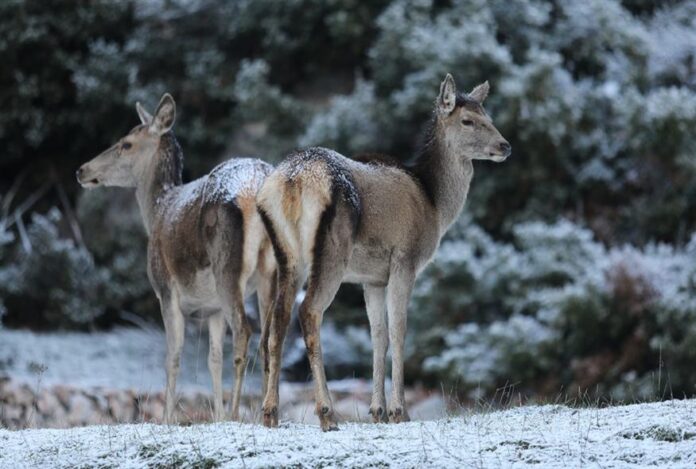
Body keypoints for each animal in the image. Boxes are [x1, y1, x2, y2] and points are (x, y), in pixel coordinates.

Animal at [76, 94, 276, 424]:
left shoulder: (165, 288)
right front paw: (218, 416)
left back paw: (239, 412)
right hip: (274, 270)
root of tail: (254, 187)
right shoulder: (212, 308)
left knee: (245, 332)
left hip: (227, 266)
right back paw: (267, 413)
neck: (157, 210)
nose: (81, 170)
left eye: (126, 143)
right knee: (271, 336)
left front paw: (168, 418)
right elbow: (212, 359)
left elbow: (173, 356)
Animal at [256, 74, 510, 431]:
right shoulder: (405, 259)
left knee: (276, 321)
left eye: (488, 115)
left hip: (284, 253)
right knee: (308, 311)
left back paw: (269, 412)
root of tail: (292, 182)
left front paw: (377, 411)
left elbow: (378, 335)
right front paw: (399, 411)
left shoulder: (372, 277)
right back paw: (326, 412)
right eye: (468, 120)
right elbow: (399, 331)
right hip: (332, 249)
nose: (505, 146)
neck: (434, 204)